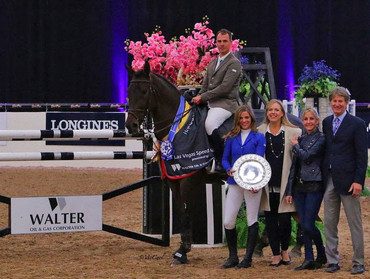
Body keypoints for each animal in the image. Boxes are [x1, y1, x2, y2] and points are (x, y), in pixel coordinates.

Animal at [125, 61, 302, 266]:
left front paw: (183, 252)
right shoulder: (174, 179)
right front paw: (181, 250)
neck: (179, 128)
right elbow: (181, 211)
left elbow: (186, 210)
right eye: (129, 91)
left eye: (144, 91)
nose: (131, 126)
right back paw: (266, 246)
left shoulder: (188, 179)